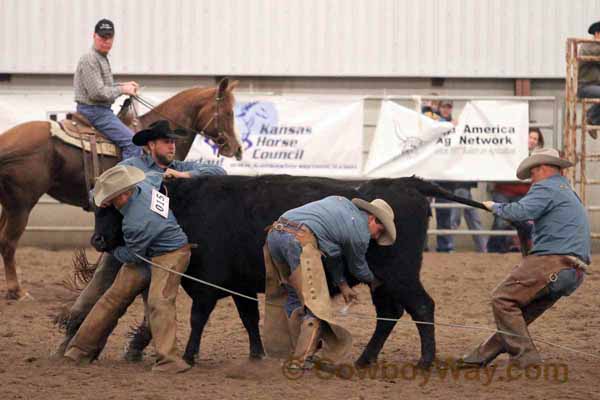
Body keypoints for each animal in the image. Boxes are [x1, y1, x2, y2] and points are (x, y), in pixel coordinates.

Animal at [1, 78, 244, 300]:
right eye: (228, 113)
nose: (237, 149)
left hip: (10, 204)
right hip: (22, 205)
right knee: (8, 242)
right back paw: (17, 291)